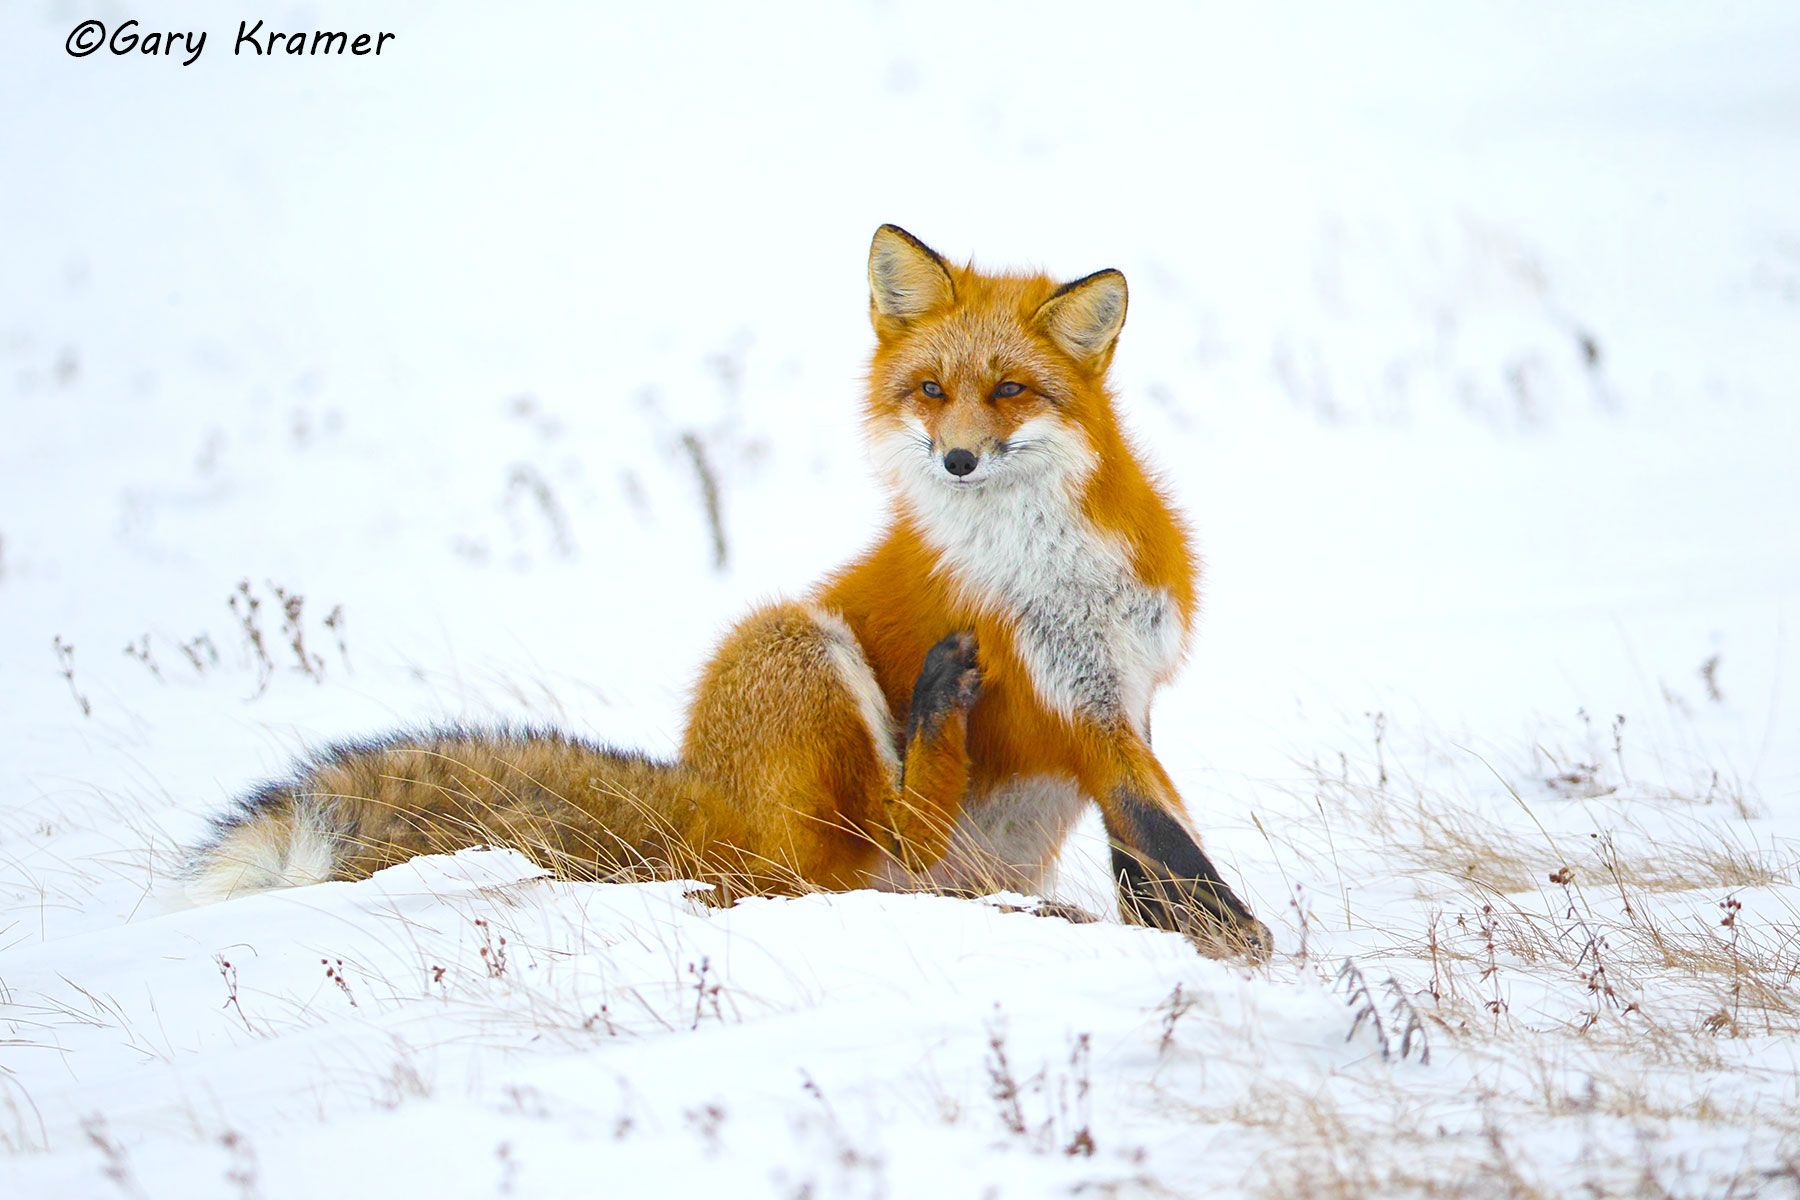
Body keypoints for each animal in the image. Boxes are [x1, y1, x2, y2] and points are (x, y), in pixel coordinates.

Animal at [188, 225, 1272, 959]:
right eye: (930, 391)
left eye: (1009, 391)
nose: (958, 460)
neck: (1052, 566)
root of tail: (709, 804)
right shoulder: (1069, 697)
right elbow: (1162, 836)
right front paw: (1249, 949)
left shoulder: (1123, 691)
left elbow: (1147, 848)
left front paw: (1184, 936)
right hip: (786, 640)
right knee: (855, 862)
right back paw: (936, 708)